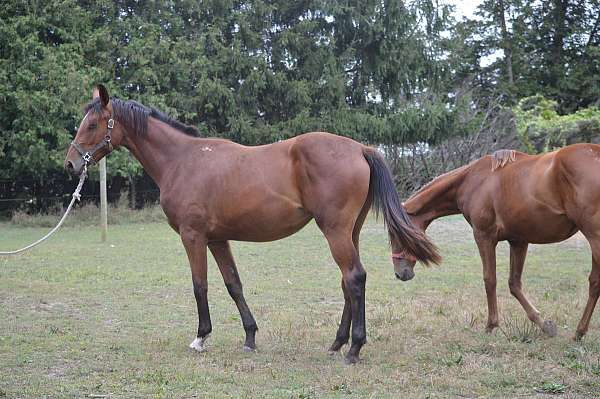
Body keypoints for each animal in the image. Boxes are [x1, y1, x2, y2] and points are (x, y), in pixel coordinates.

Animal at [64, 85, 440, 366]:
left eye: (93, 125)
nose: (70, 165)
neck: (183, 160)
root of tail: (360, 148)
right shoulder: (218, 239)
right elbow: (234, 285)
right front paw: (249, 337)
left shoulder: (193, 237)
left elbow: (199, 285)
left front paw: (200, 337)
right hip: (351, 232)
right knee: (349, 281)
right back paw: (337, 344)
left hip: (335, 231)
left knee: (355, 278)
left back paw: (354, 349)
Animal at [394, 145, 600, 340]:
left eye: (396, 235)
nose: (400, 273)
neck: (472, 180)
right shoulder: (518, 241)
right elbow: (514, 284)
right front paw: (544, 324)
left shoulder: (484, 237)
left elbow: (490, 279)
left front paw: (491, 325)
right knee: (594, 283)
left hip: (594, 239)